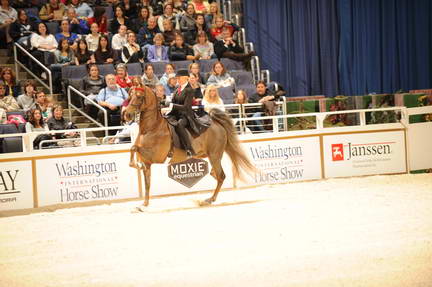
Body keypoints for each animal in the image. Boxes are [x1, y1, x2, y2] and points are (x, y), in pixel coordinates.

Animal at [124, 86, 253, 208]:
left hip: (214, 155)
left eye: (139, 96)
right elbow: (147, 182)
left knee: (221, 176)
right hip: (209, 155)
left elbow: (134, 149)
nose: (126, 114)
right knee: (215, 174)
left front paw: (136, 165)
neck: (151, 128)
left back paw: (208, 200)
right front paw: (143, 205)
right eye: (130, 95)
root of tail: (217, 123)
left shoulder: (157, 156)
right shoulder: (147, 162)